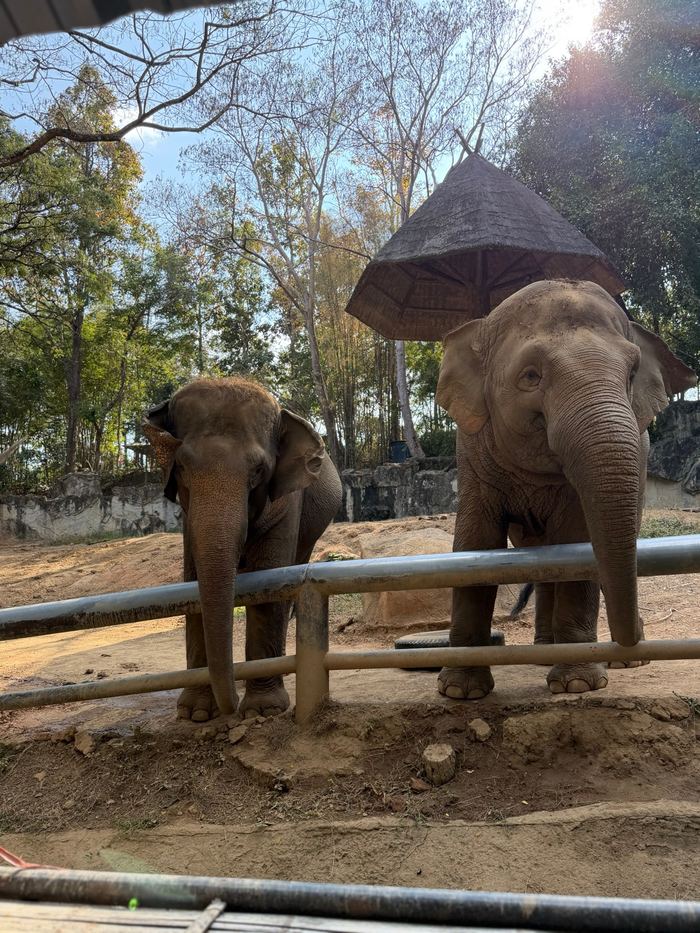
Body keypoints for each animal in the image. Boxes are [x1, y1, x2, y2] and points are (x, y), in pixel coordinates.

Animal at [143, 376, 342, 722]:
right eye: (180, 466)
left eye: (259, 470)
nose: (231, 707)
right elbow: (193, 580)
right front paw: (197, 713)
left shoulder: (288, 501)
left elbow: (270, 580)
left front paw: (262, 710)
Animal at [435, 279, 696, 699]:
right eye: (530, 376)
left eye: (632, 373)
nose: (628, 645)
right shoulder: (472, 451)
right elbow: (475, 542)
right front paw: (461, 691)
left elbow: (578, 539)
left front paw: (577, 684)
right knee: (544, 562)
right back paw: (547, 653)